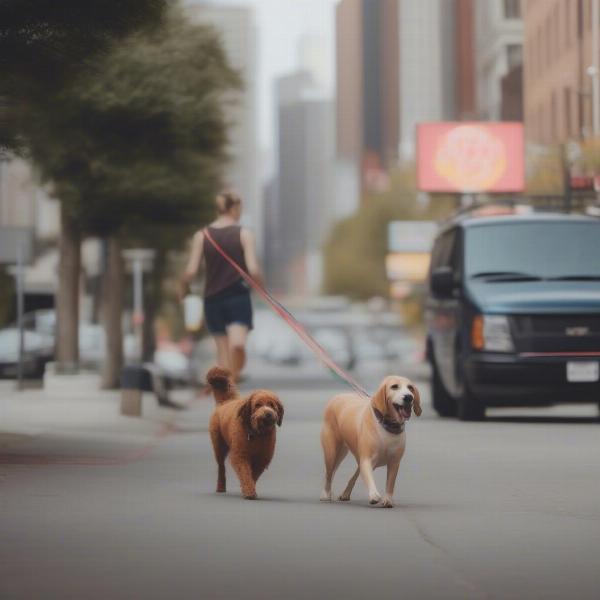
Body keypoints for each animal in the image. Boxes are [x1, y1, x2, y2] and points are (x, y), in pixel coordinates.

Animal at [206, 368, 284, 500]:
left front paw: (249, 488)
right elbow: (245, 473)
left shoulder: (263, 458)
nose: (268, 413)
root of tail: (225, 401)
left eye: (272, 405)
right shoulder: (240, 455)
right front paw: (249, 492)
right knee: (221, 467)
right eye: (258, 405)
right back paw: (220, 487)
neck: (257, 434)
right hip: (218, 446)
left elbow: (253, 475)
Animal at [322, 378, 420, 508]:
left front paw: (388, 499)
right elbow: (370, 479)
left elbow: (390, 483)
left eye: (410, 388)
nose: (409, 397)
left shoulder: (394, 463)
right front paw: (374, 495)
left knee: (351, 476)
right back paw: (326, 494)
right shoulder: (367, 460)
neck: (387, 426)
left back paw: (345, 493)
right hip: (332, 453)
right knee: (329, 474)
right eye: (394, 386)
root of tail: (338, 396)